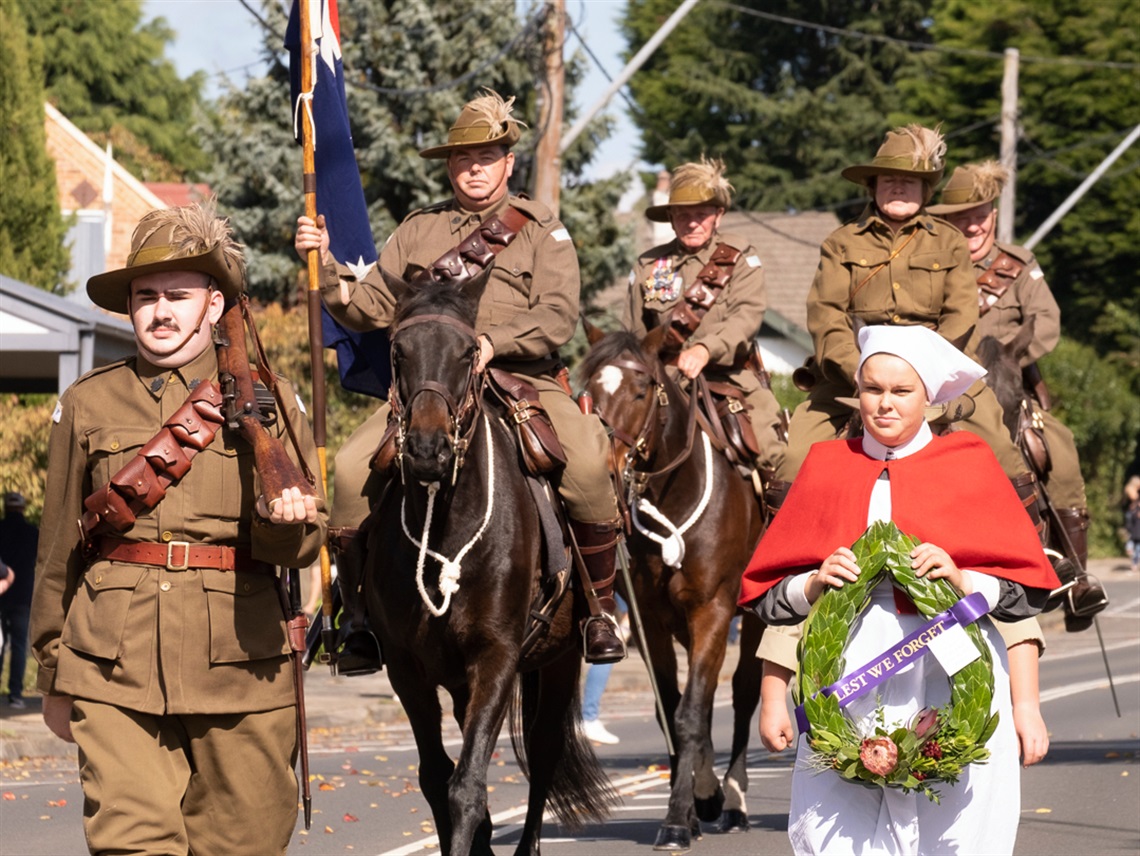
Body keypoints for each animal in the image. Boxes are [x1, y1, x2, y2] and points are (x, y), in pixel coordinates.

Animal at [364, 278, 615, 852]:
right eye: (398, 351)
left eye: (466, 353)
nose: (427, 449)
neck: (446, 519)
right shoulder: (407, 669)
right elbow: (437, 778)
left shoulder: (497, 655)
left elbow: (468, 785)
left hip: (561, 658)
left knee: (543, 754)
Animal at [579, 325, 766, 852]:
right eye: (588, 389)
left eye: (642, 389)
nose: (605, 466)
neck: (675, 496)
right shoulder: (651, 622)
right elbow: (673, 710)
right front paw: (694, 803)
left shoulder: (714, 610)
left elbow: (692, 712)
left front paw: (679, 820)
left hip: (752, 619)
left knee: (742, 694)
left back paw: (735, 799)